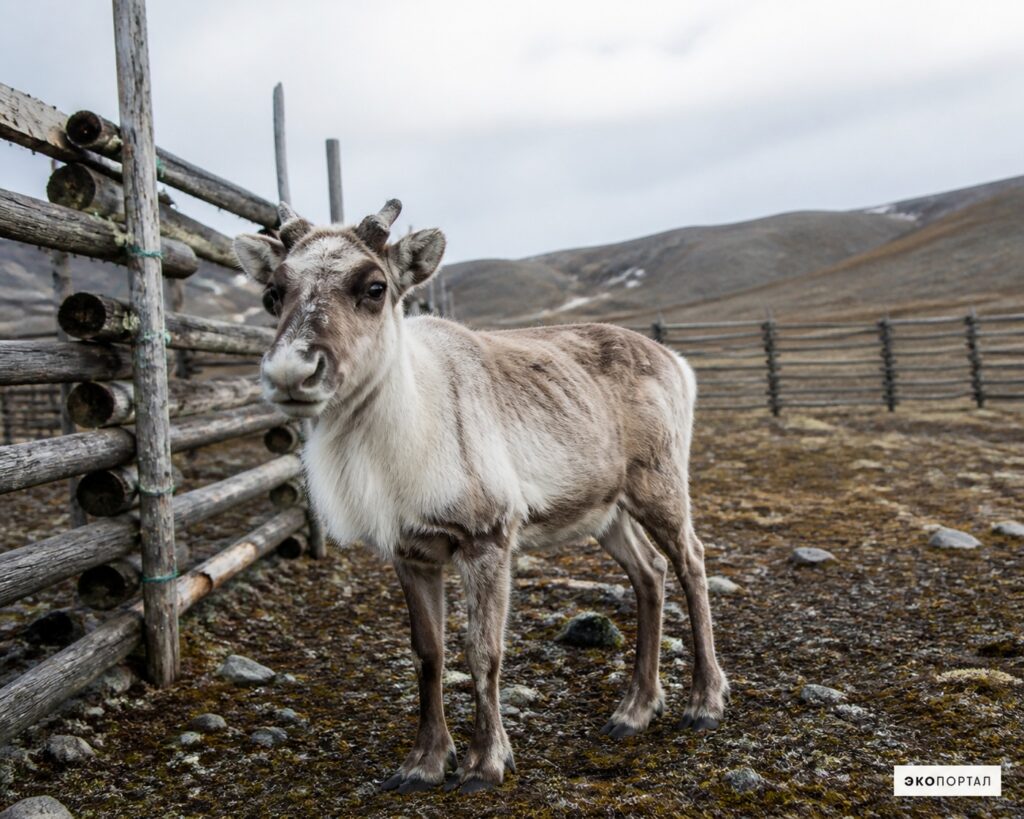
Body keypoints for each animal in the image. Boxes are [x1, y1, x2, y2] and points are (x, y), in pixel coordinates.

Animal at [233, 201, 728, 795]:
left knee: (691, 561)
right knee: (649, 572)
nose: (291, 372)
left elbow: (482, 652)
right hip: (606, 510)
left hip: (660, 485)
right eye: (272, 293)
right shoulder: (410, 553)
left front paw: (485, 761)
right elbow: (428, 654)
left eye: (374, 287)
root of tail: (676, 362)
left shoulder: (487, 538)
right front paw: (424, 762)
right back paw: (635, 709)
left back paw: (704, 702)